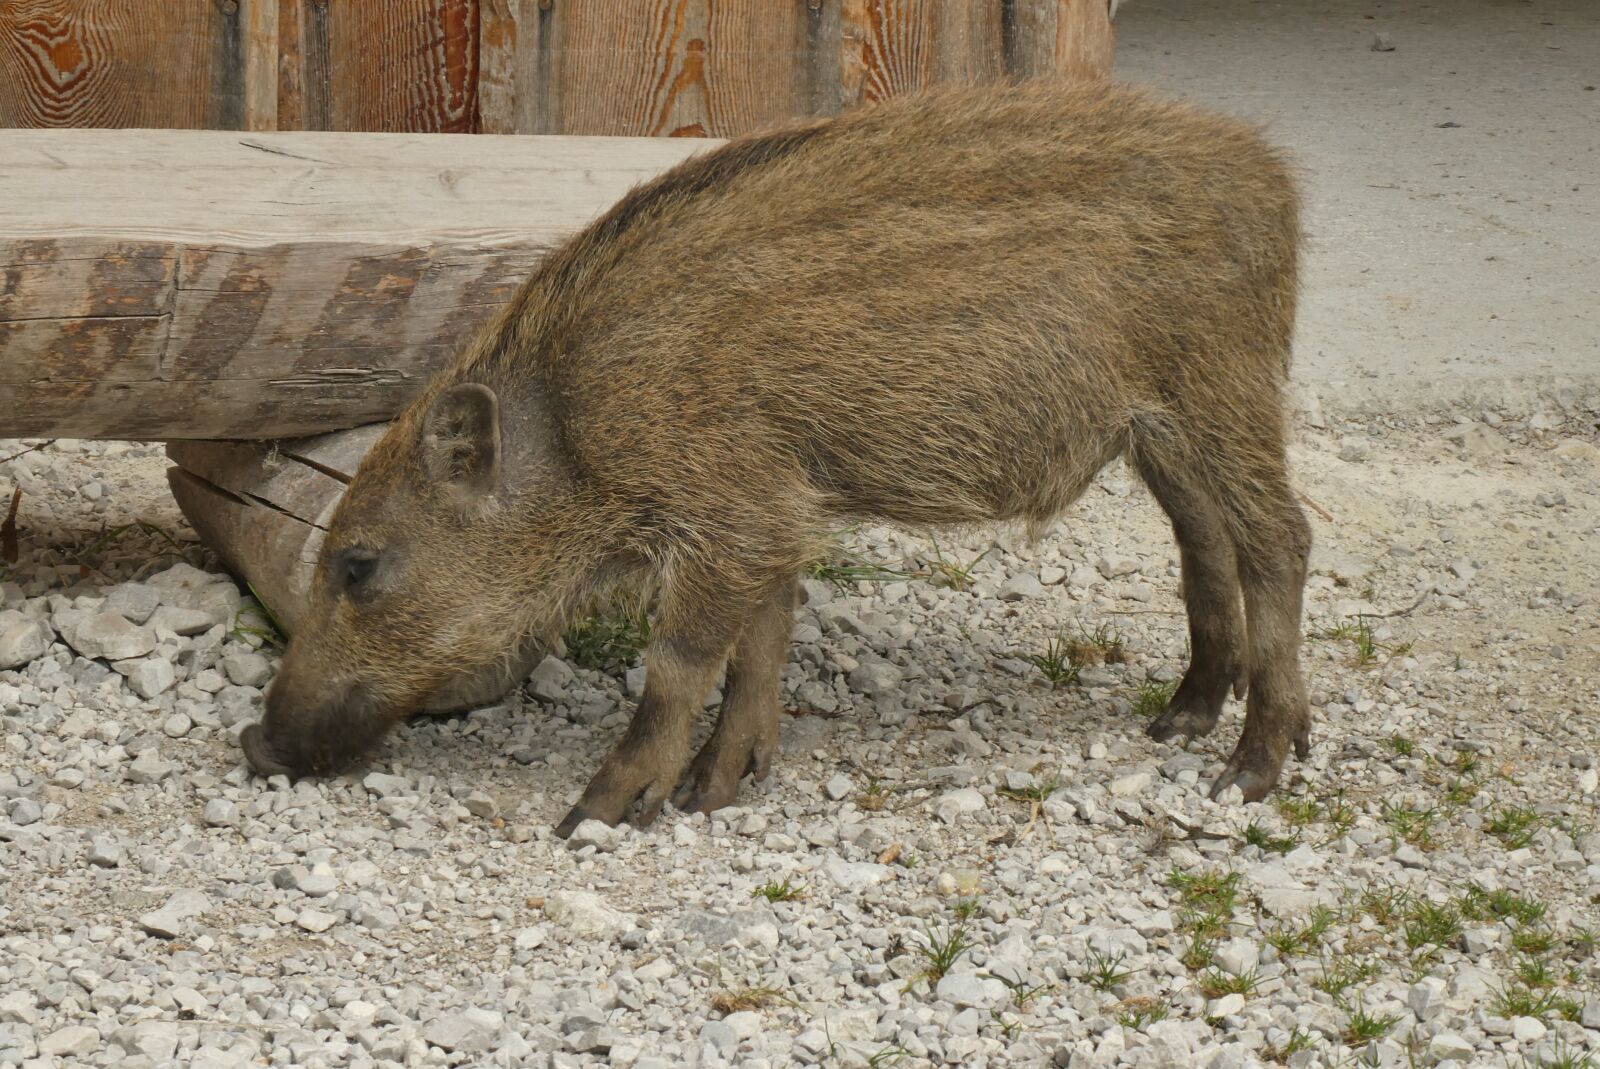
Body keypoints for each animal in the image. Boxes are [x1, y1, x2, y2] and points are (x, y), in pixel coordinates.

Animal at [240, 79, 1312, 833]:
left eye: (358, 564)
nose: (254, 743)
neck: (578, 431)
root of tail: (1275, 177)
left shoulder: (733, 505)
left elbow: (679, 663)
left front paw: (597, 813)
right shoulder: (766, 512)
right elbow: (760, 641)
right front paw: (720, 790)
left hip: (1224, 386)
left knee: (1281, 539)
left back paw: (1250, 772)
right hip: (1163, 430)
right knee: (1203, 541)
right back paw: (1178, 721)